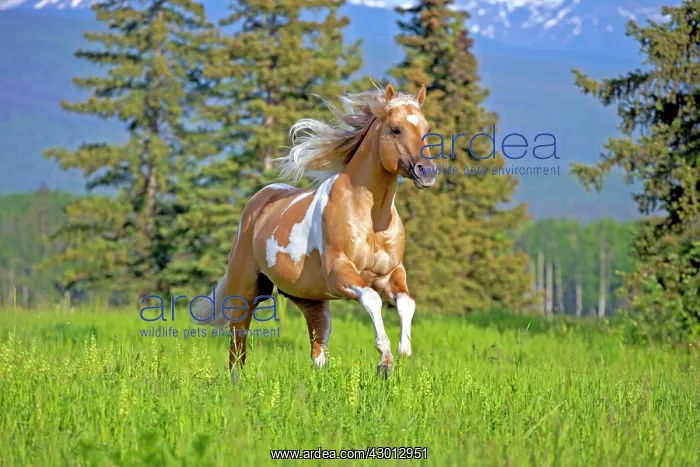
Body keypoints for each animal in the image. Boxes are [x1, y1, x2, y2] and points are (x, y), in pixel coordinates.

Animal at [192, 83, 437, 382]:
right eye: (395, 129)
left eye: (426, 128)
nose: (427, 172)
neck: (371, 218)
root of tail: (255, 205)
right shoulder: (340, 273)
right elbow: (372, 299)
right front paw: (385, 360)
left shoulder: (391, 274)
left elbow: (405, 303)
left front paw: (403, 352)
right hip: (246, 291)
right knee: (237, 345)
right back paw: (237, 384)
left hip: (310, 300)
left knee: (317, 345)